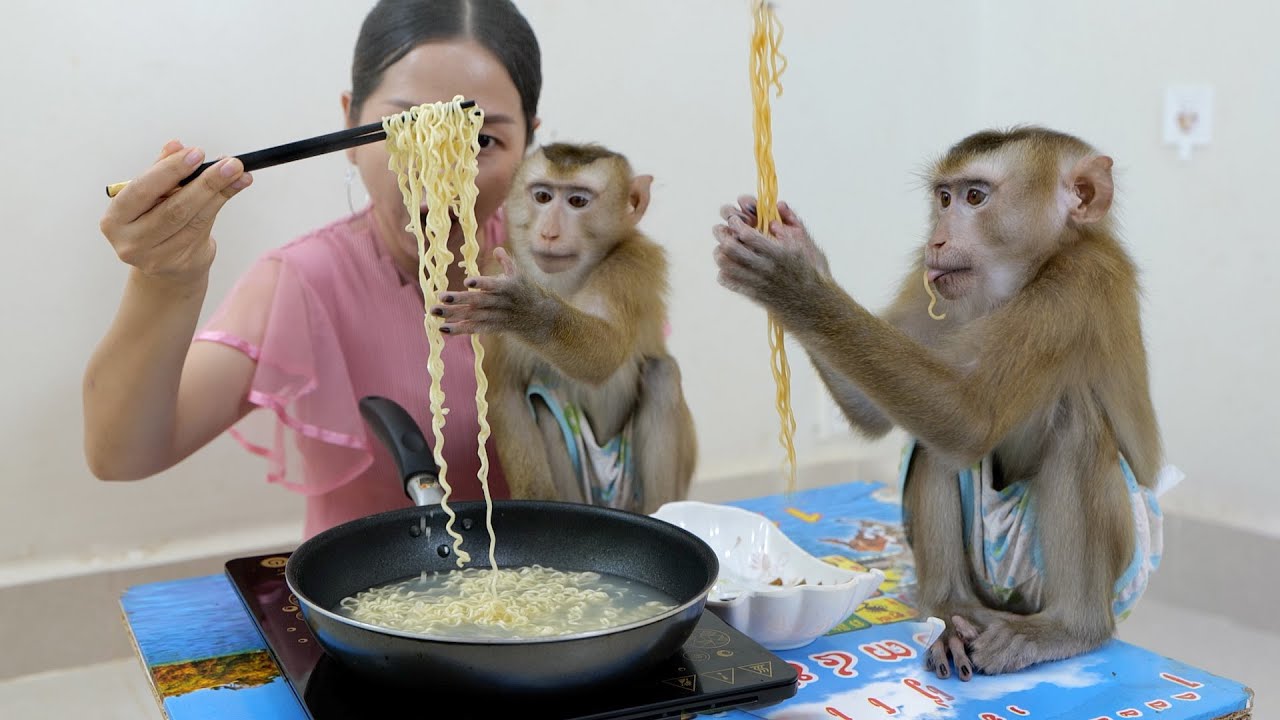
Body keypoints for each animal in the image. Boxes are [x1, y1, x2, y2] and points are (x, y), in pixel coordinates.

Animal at [431, 142, 697, 514]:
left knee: (662, 375)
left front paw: (527, 310)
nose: (549, 233)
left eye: (577, 202)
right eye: (543, 196)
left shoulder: (632, 265)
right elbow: (505, 393)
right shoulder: (492, 267)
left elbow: (606, 353)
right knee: (542, 400)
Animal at [711, 126, 1165, 680]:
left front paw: (792, 281)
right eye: (944, 199)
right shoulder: (927, 276)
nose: (938, 240)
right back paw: (950, 611)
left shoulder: (1082, 281)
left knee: (1071, 421)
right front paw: (802, 253)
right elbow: (879, 412)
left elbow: (970, 416)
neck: (1020, 280)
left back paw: (1071, 627)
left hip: (1109, 572)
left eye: (976, 198)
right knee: (929, 444)